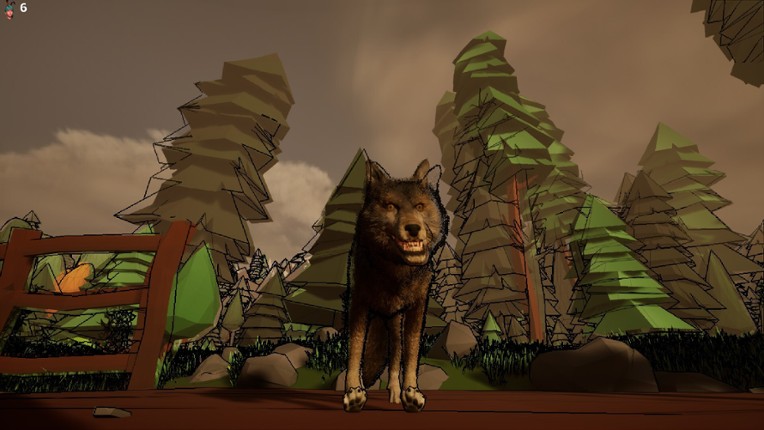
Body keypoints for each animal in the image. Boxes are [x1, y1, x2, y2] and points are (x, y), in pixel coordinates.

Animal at [342, 158, 447, 413]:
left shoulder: (417, 310)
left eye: (419, 207)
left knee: (396, 356)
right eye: (391, 206)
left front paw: (411, 392)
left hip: (395, 325)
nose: (413, 228)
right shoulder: (358, 304)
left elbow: (410, 355)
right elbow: (355, 350)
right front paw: (353, 391)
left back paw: (395, 393)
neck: (395, 273)